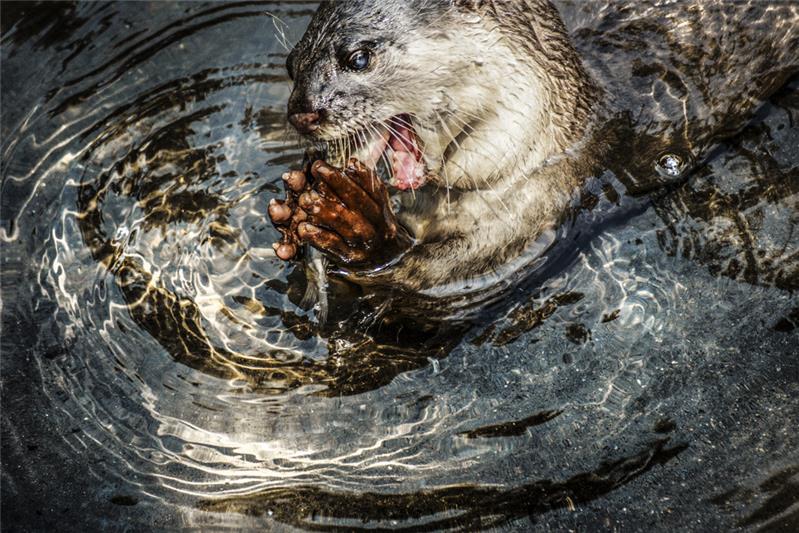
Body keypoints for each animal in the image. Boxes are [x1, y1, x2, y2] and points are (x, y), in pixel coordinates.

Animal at [270, 0, 799, 294]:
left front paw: (352, 222)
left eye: (358, 57)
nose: (302, 111)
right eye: (292, 64)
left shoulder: (532, 215)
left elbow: (418, 280)